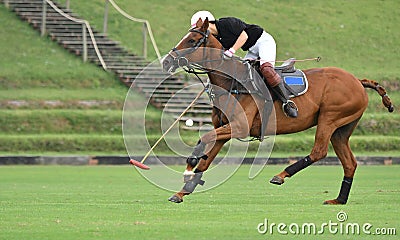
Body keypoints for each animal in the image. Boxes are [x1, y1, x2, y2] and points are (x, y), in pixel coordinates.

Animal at [161, 17, 392, 203]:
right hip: (342, 129)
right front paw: (182, 192)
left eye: (192, 41)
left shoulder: (239, 126)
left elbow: (204, 139)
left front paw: (189, 165)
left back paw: (280, 175)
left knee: (319, 151)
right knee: (350, 163)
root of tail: (358, 81)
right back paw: (338, 200)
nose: (166, 62)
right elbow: (206, 159)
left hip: (330, 118)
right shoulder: (225, 128)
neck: (231, 82)